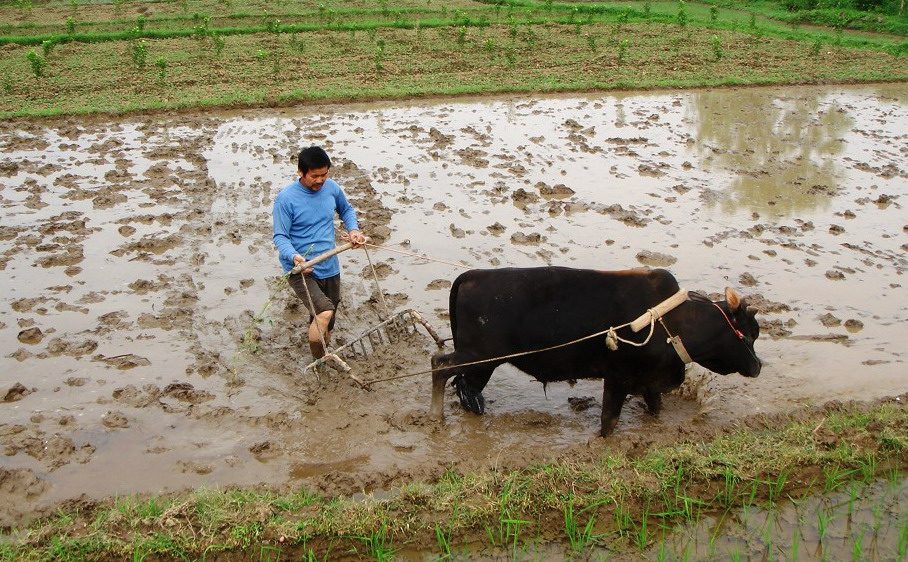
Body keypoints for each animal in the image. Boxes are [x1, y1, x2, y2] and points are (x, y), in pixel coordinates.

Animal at [430, 266, 764, 434]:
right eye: (749, 334)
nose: (758, 365)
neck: (670, 321)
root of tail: (470, 275)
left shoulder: (647, 383)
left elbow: (655, 409)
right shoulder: (618, 378)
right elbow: (609, 421)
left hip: (481, 363)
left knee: (464, 386)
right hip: (479, 357)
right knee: (439, 364)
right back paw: (435, 415)